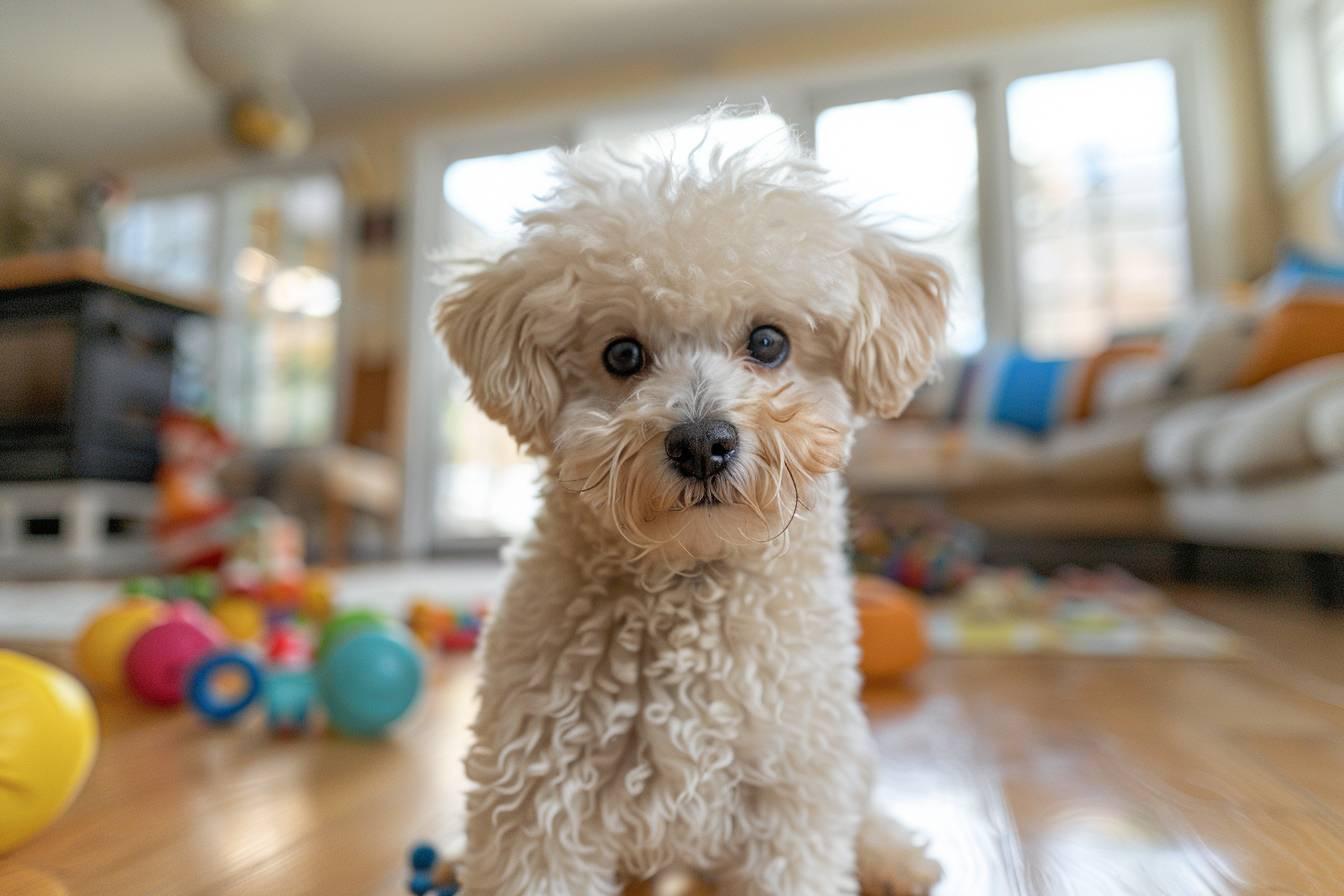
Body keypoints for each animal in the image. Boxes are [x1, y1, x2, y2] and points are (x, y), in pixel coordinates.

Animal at [435, 118, 951, 896]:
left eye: (768, 341)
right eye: (622, 355)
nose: (703, 443)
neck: (689, 582)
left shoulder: (791, 794)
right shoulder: (540, 797)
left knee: (865, 807)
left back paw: (895, 858)